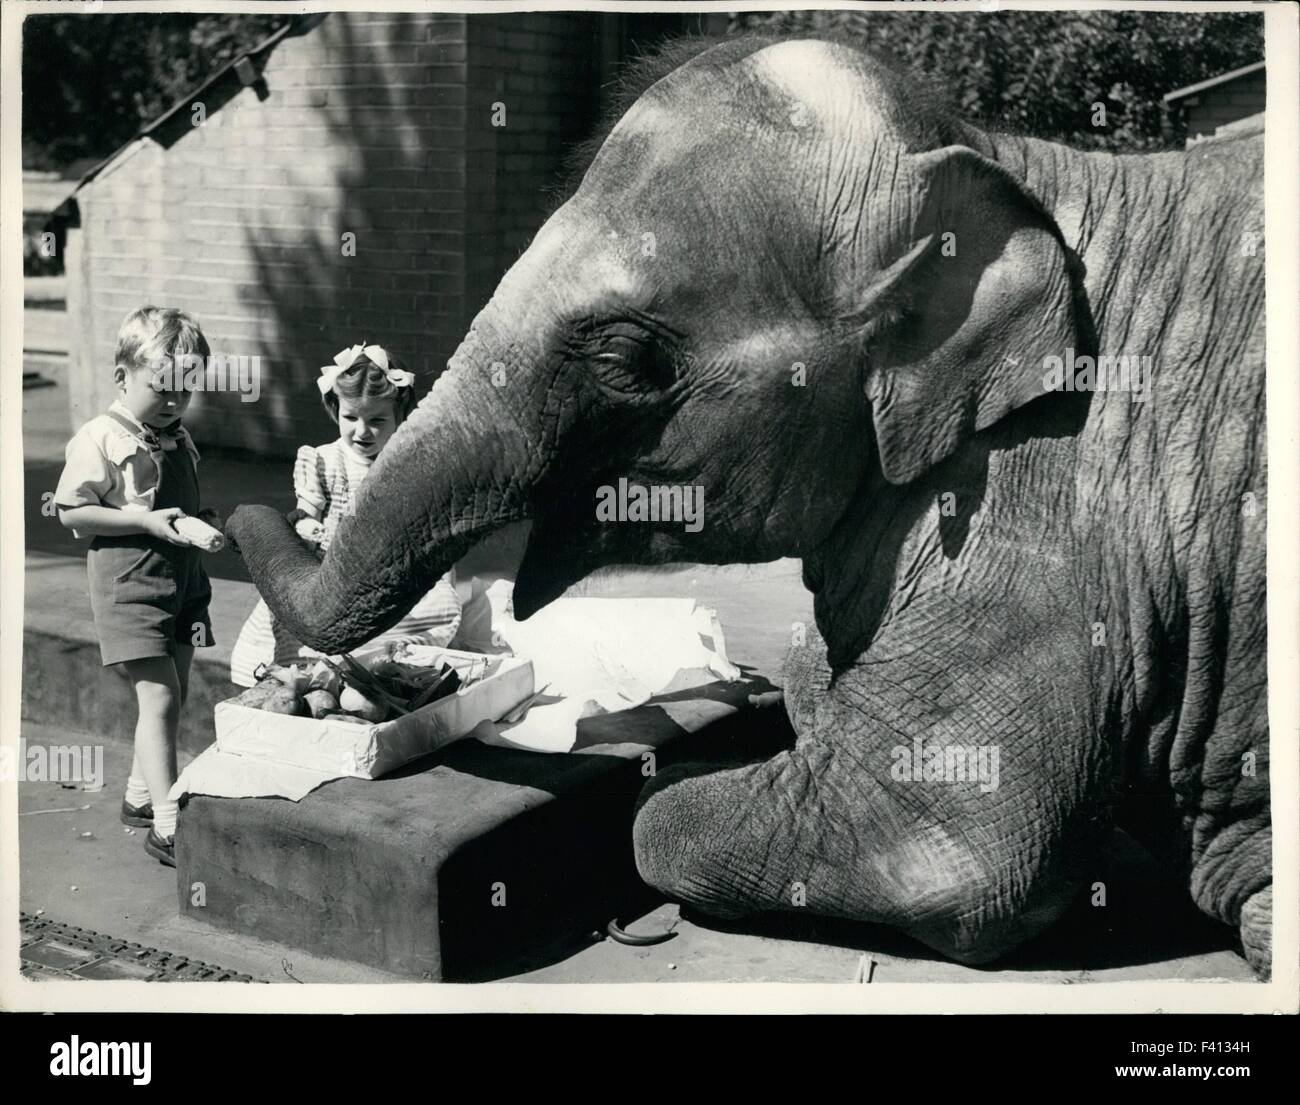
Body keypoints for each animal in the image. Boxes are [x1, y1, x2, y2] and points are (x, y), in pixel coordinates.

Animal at [223, 30, 1268, 967]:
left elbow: (947, 846)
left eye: (626, 359)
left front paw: (682, 767)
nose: (245, 508)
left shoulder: (1048, 516)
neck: (1006, 160)